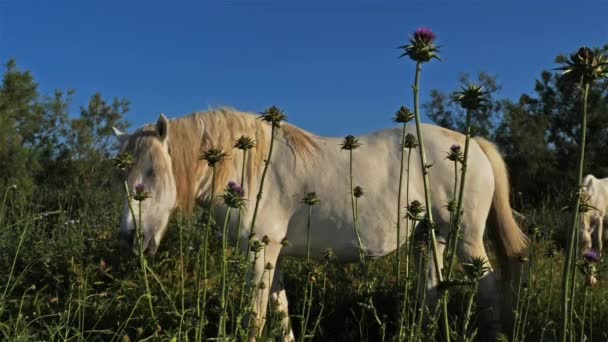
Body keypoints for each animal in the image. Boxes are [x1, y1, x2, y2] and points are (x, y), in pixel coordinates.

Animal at [114, 107, 528, 340]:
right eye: (123, 175)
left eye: (152, 172)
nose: (132, 239)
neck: (249, 168)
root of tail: (471, 144)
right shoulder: (273, 255)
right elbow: (280, 312)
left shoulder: (260, 251)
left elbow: (256, 315)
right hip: (433, 237)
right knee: (431, 288)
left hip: (468, 239)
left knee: (488, 287)